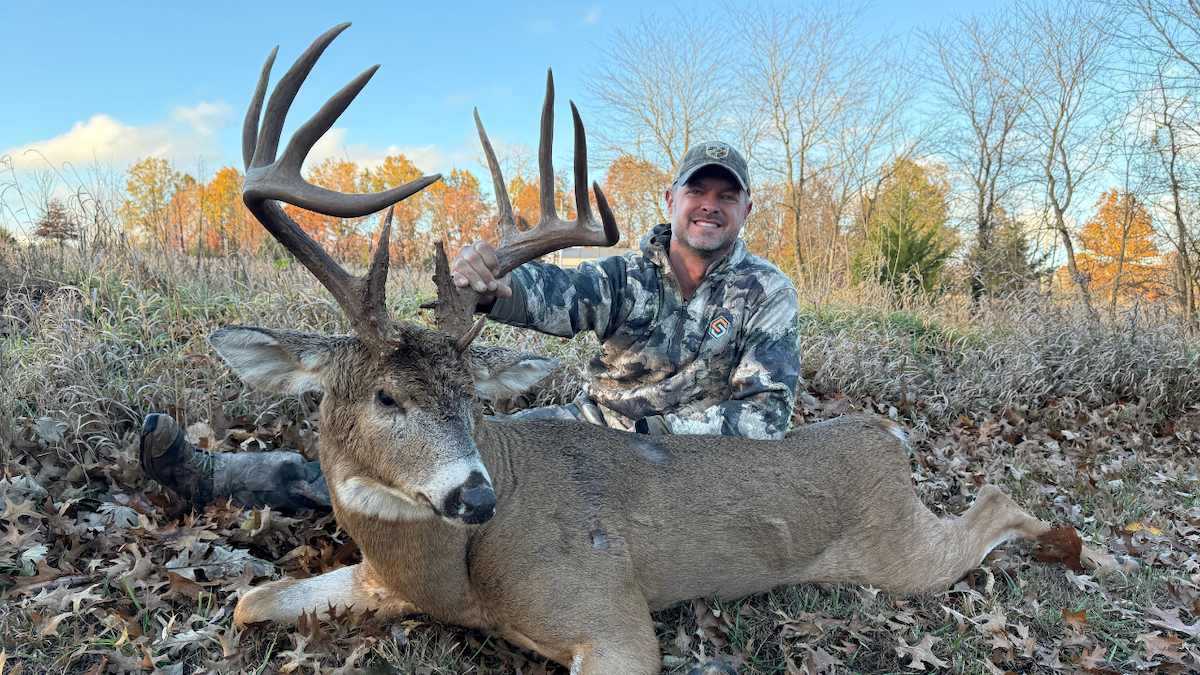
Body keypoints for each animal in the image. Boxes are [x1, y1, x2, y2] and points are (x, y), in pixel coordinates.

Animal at [217, 24, 1140, 675]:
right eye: (386, 396)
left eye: (471, 399)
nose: (474, 495)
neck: (451, 569)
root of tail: (886, 435)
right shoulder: (377, 580)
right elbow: (248, 600)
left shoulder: (610, 611)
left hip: (902, 554)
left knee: (995, 503)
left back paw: (1082, 548)